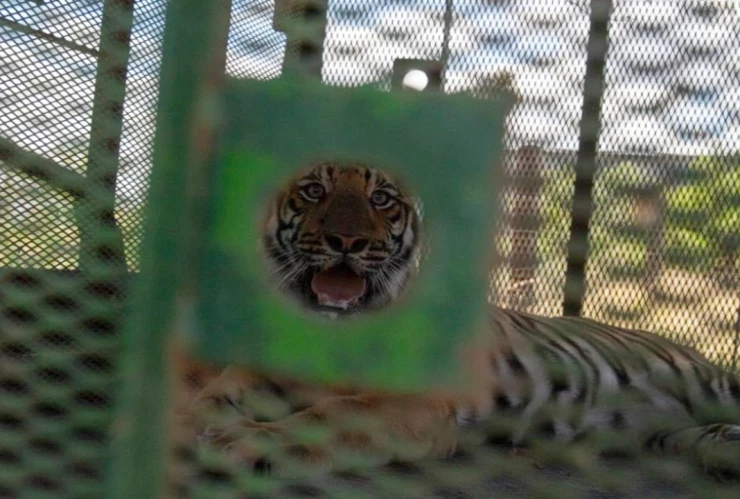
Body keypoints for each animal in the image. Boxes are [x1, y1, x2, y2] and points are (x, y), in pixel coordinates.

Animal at [178, 160, 740, 483]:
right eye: (314, 191)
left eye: (381, 199)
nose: (348, 241)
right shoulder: (256, 377)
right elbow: (209, 399)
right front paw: (197, 425)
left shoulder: (410, 404)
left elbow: (326, 417)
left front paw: (238, 443)